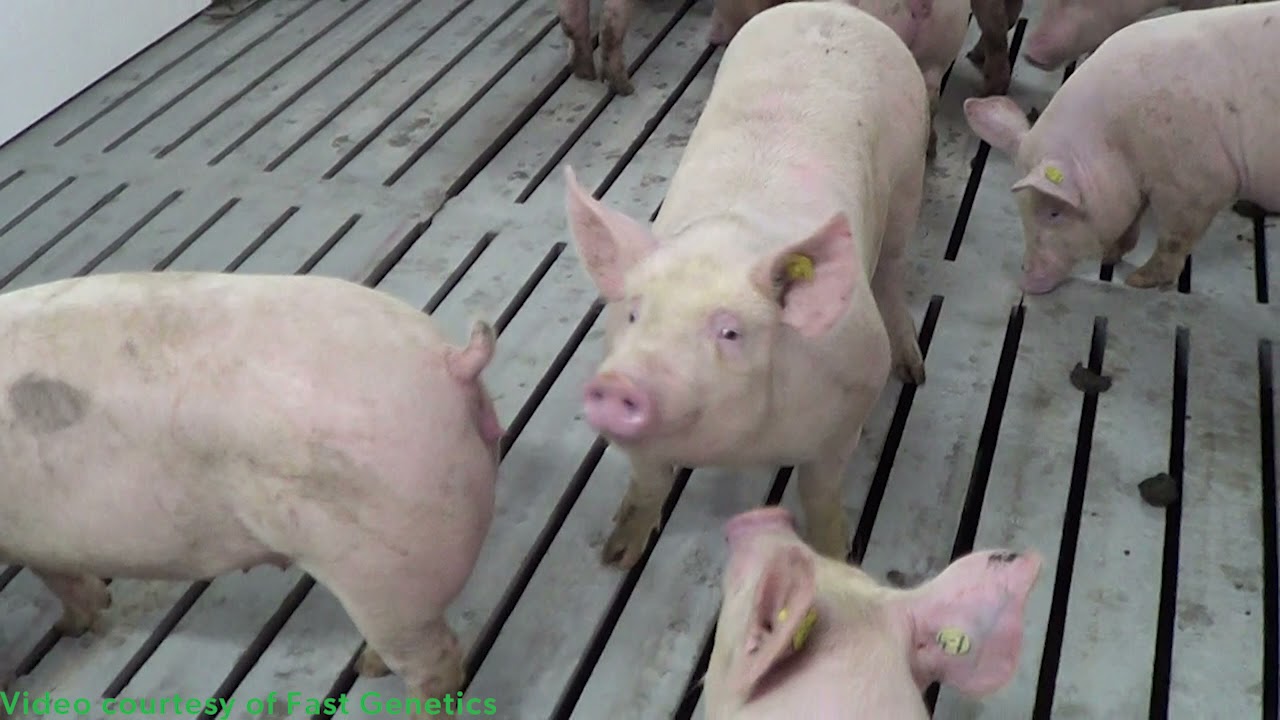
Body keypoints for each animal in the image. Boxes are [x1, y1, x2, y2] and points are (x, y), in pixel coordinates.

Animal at [0, 272, 503, 710]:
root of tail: (452, 360)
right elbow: (56, 570)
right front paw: (74, 623)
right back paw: (369, 666)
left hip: (380, 569)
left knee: (437, 666)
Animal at [563, 0, 929, 569]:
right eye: (634, 314)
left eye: (730, 332)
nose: (621, 383)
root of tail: (836, 8)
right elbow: (649, 481)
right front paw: (617, 555)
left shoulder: (851, 404)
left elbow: (820, 491)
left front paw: (836, 557)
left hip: (909, 177)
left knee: (893, 269)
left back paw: (913, 370)